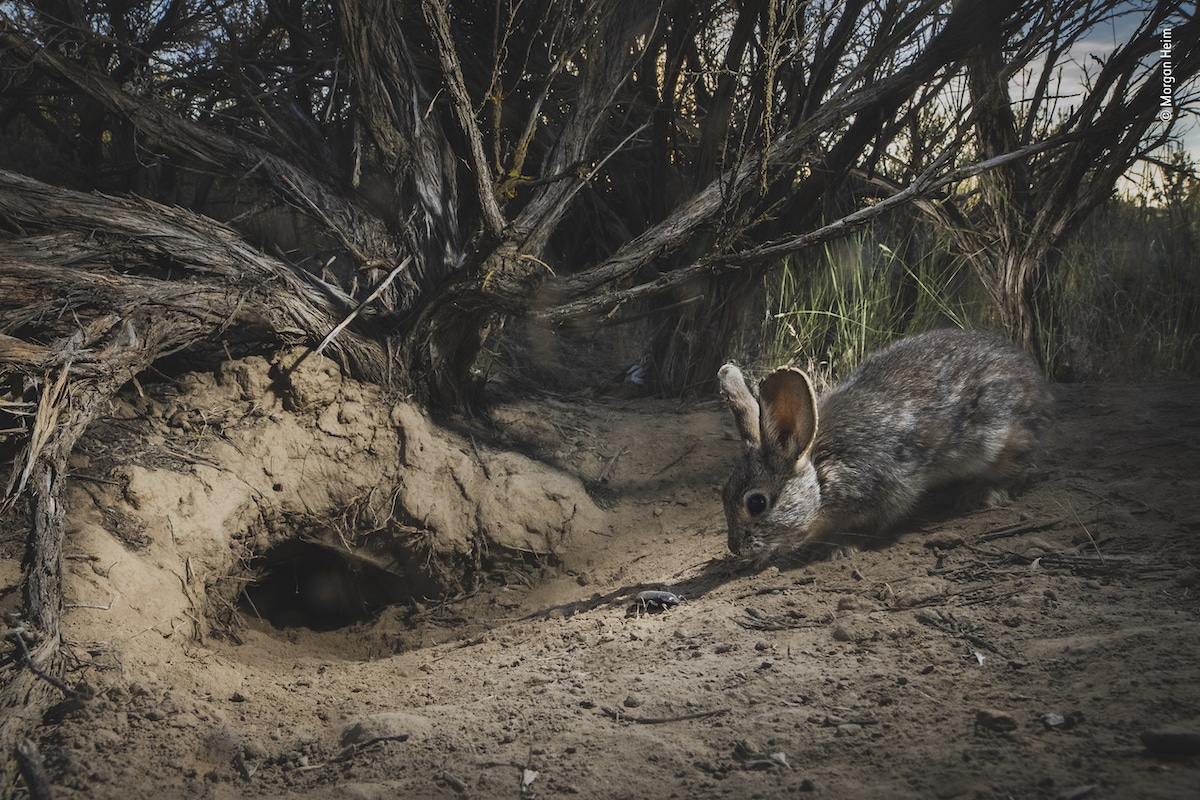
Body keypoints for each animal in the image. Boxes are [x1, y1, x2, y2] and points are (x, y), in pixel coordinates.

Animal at [720, 328, 1051, 561]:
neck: (820, 474)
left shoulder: (887, 489)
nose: (736, 548)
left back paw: (984, 494)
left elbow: (871, 525)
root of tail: (1034, 379)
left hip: (1002, 441)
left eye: (757, 503)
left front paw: (835, 547)